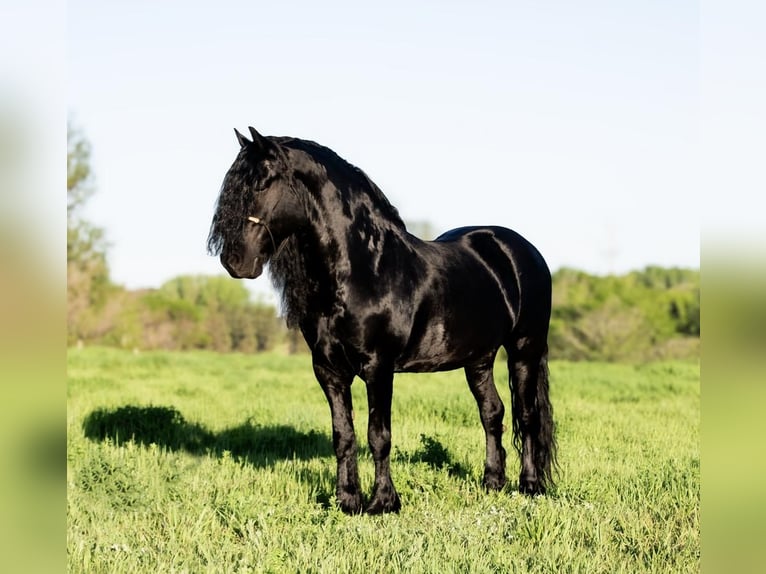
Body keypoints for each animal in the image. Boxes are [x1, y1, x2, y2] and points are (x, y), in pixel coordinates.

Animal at [210, 127, 560, 516]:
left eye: (262, 183)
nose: (235, 261)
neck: (363, 269)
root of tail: (519, 249)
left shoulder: (378, 367)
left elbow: (378, 435)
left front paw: (384, 502)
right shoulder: (328, 370)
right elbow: (343, 435)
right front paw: (348, 500)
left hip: (524, 349)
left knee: (526, 416)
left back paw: (530, 486)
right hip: (479, 358)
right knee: (492, 413)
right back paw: (492, 483)